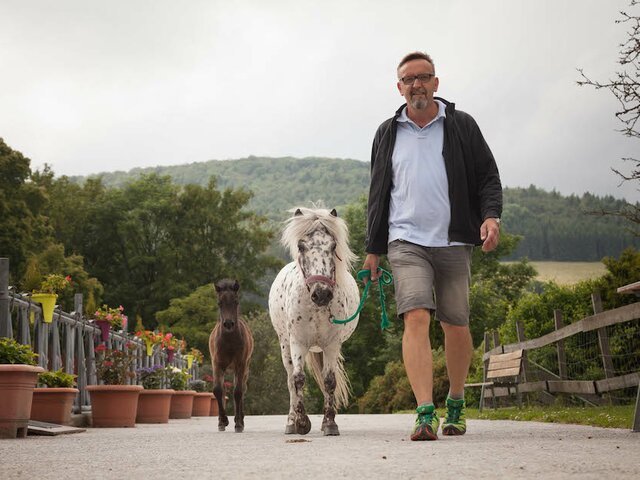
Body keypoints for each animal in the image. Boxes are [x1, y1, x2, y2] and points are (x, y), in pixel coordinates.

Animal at [270, 206, 360, 436]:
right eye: (301, 246)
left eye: (333, 245)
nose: (322, 294)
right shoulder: (297, 343)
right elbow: (298, 379)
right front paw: (301, 423)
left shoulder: (332, 345)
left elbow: (329, 381)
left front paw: (329, 423)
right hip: (285, 345)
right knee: (290, 380)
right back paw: (291, 422)